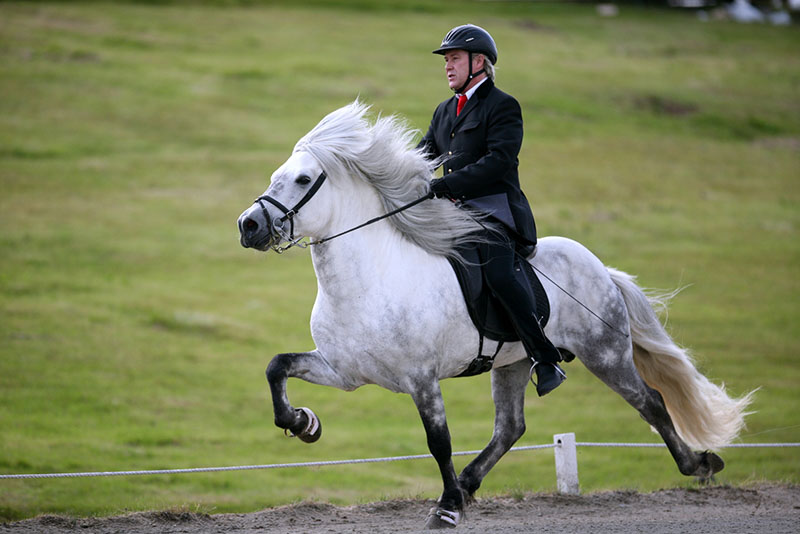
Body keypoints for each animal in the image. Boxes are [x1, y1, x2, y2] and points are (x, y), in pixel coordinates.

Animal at [234, 101, 752, 532]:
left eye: (303, 180)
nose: (249, 225)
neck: (369, 280)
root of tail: (600, 267)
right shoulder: (343, 371)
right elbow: (276, 367)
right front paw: (303, 423)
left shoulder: (421, 379)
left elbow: (438, 441)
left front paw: (445, 509)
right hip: (516, 362)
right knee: (511, 427)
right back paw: (468, 482)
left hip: (604, 353)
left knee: (651, 402)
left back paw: (698, 465)